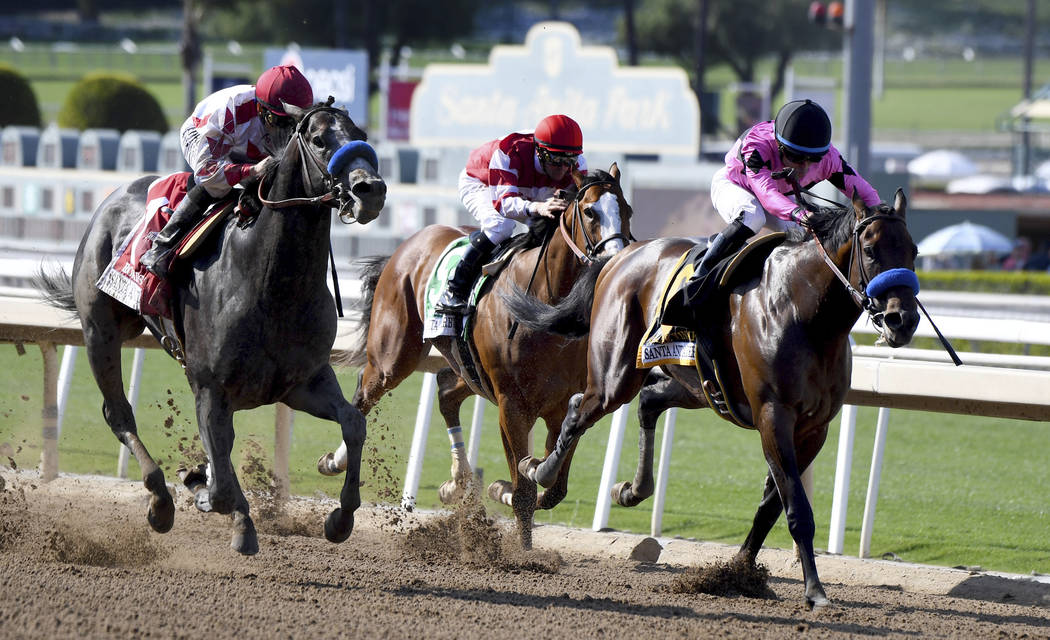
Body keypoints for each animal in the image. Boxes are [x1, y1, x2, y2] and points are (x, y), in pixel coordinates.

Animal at [32, 102, 388, 549]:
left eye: (361, 134)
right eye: (320, 139)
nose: (370, 190)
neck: (272, 284)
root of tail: (111, 200)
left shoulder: (301, 383)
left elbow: (354, 422)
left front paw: (340, 518)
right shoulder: (210, 387)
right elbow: (218, 489)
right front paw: (208, 493)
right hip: (101, 331)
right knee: (119, 414)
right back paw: (161, 501)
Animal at [321, 163, 630, 541]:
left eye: (627, 211)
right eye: (589, 212)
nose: (617, 264)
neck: (544, 309)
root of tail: (410, 243)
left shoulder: (564, 405)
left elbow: (553, 486)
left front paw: (502, 487)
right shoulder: (512, 406)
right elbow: (526, 493)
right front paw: (520, 542)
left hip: (466, 367)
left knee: (445, 391)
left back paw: (457, 483)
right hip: (392, 356)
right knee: (366, 393)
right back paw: (335, 461)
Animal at [506, 187, 919, 604]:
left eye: (913, 250)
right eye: (870, 250)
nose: (903, 320)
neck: (808, 314)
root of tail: (620, 256)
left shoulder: (814, 428)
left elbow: (771, 505)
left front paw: (737, 572)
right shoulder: (773, 415)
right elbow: (796, 508)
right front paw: (815, 590)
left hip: (696, 385)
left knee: (645, 401)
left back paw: (630, 489)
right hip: (615, 375)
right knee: (580, 410)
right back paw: (538, 470)